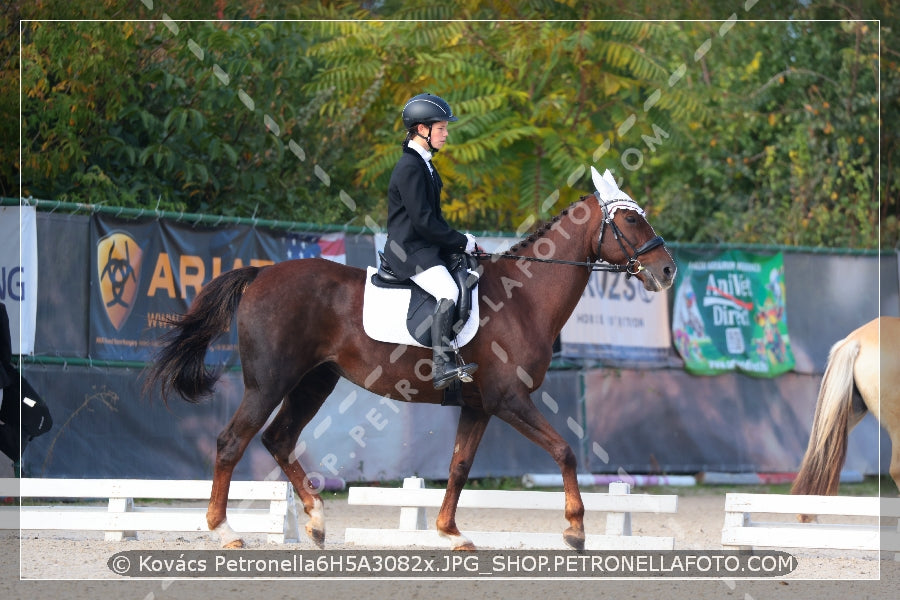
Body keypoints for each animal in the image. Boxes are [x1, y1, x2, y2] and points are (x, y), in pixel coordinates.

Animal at [144, 177, 676, 548]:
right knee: (231, 442)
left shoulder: (479, 405)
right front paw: (575, 530)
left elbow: (459, 466)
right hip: (268, 383)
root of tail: (259, 274)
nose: (667, 270)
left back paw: (315, 521)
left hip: (314, 382)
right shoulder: (509, 399)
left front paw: (450, 532)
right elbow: (565, 451)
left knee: (278, 439)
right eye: (632, 221)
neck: (524, 298)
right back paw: (225, 530)